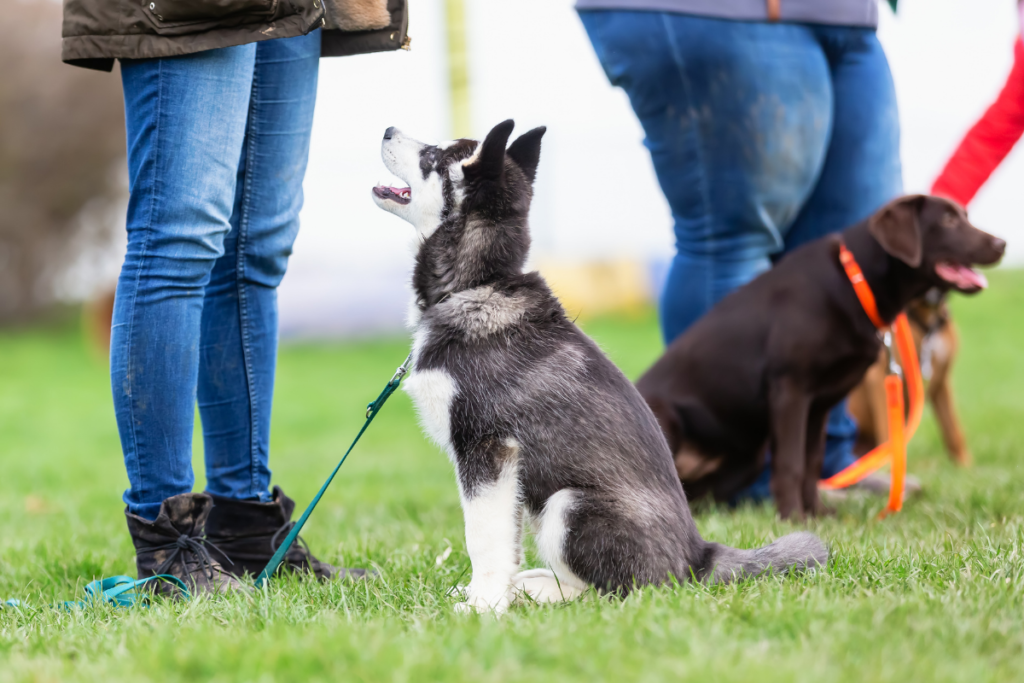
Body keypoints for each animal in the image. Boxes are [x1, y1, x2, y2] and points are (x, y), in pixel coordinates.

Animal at [372, 118, 827, 614]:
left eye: (433, 157)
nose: (388, 129)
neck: (477, 286)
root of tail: (698, 557)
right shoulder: (501, 470)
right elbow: (501, 540)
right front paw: (487, 595)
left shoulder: (488, 450)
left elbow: (483, 539)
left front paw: (484, 606)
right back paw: (529, 585)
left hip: (567, 504)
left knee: (612, 591)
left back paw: (538, 592)